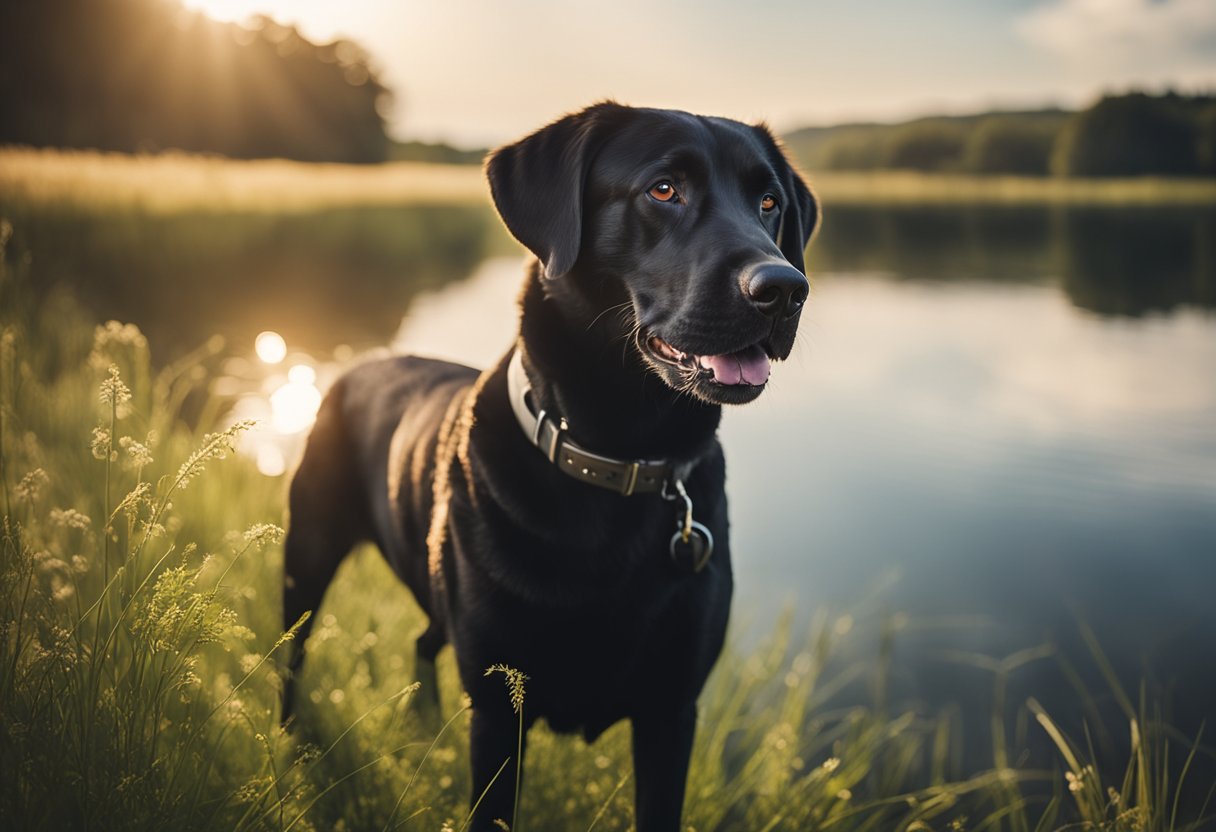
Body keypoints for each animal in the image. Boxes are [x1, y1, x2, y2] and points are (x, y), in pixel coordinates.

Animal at [282, 100, 817, 827]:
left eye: (769, 202)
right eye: (664, 190)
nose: (786, 288)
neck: (616, 458)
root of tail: (356, 366)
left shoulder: (671, 709)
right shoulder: (498, 709)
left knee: (421, 641)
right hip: (306, 557)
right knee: (293, 654)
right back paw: (288, 745)